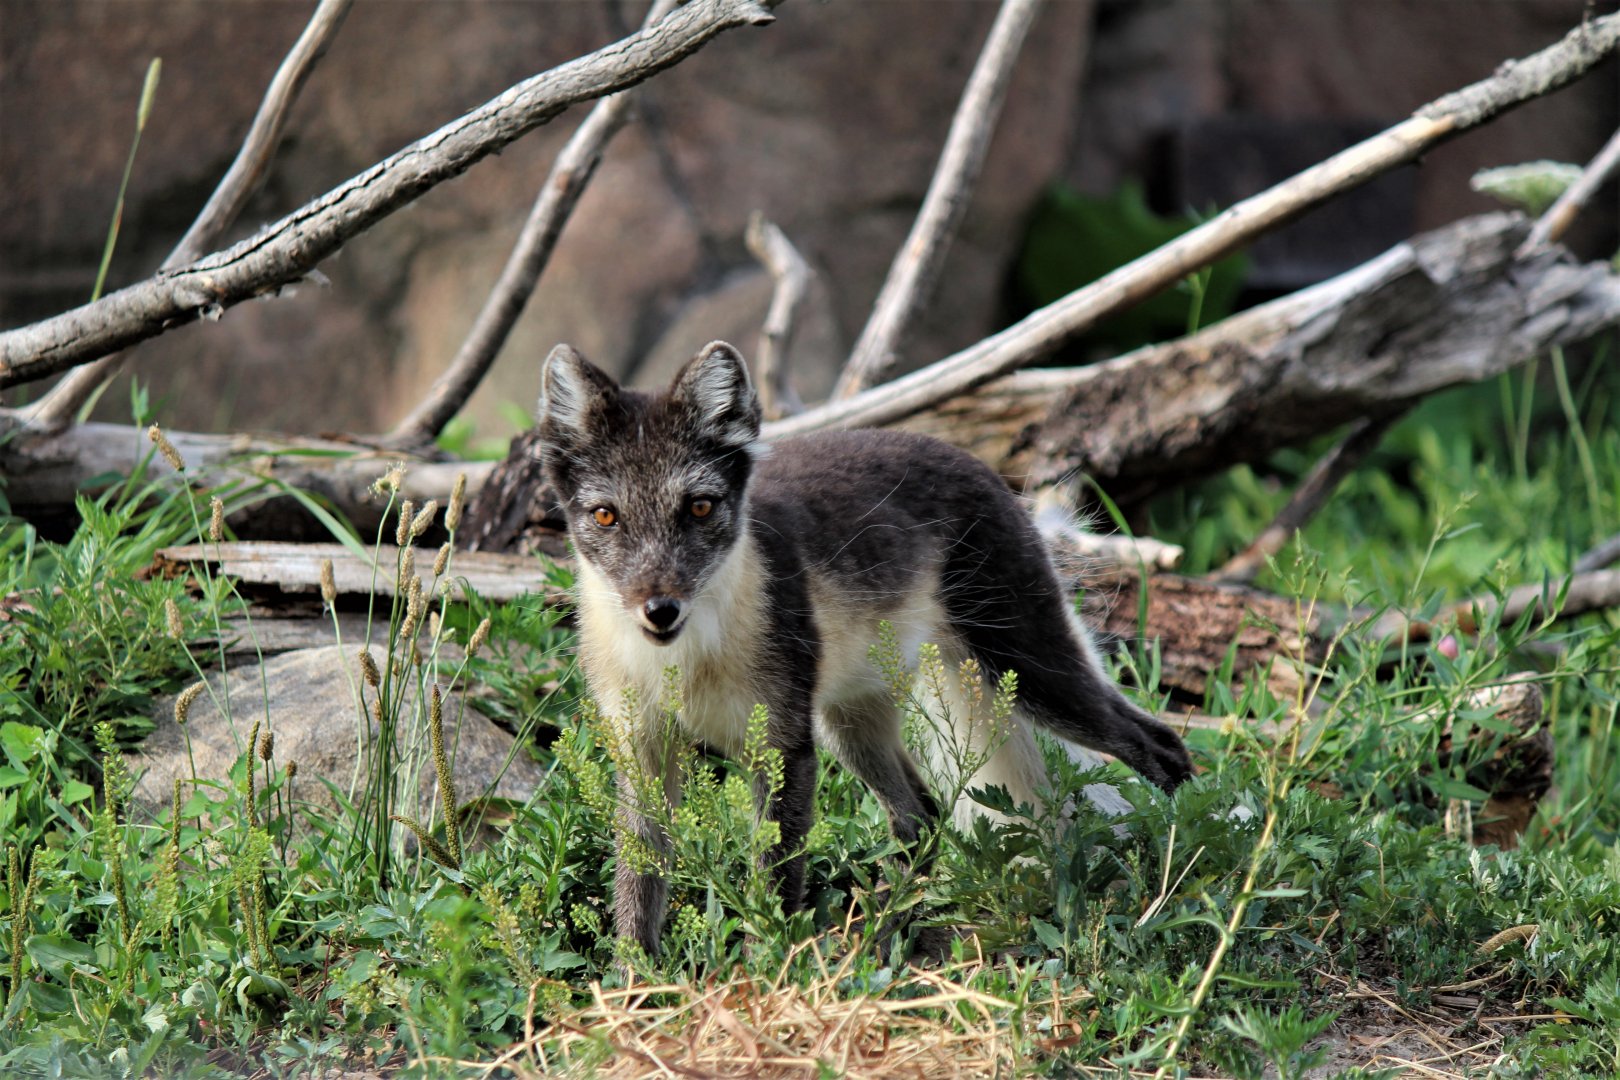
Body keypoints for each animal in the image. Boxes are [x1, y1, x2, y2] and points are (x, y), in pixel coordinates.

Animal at [537, 339, 1193, 956]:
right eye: (606, 516)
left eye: (699, 507)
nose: (660, 609)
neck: (682, 665)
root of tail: (981, 466)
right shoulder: (640, 750)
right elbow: (637, 885)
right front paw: (636, 983)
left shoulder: (781, 747)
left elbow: (774, 879)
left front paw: (766, 967)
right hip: (849, 723)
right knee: (922, 819)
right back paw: (886, 932)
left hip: (1029, 668)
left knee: (1160, 747)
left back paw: (1175, 873)